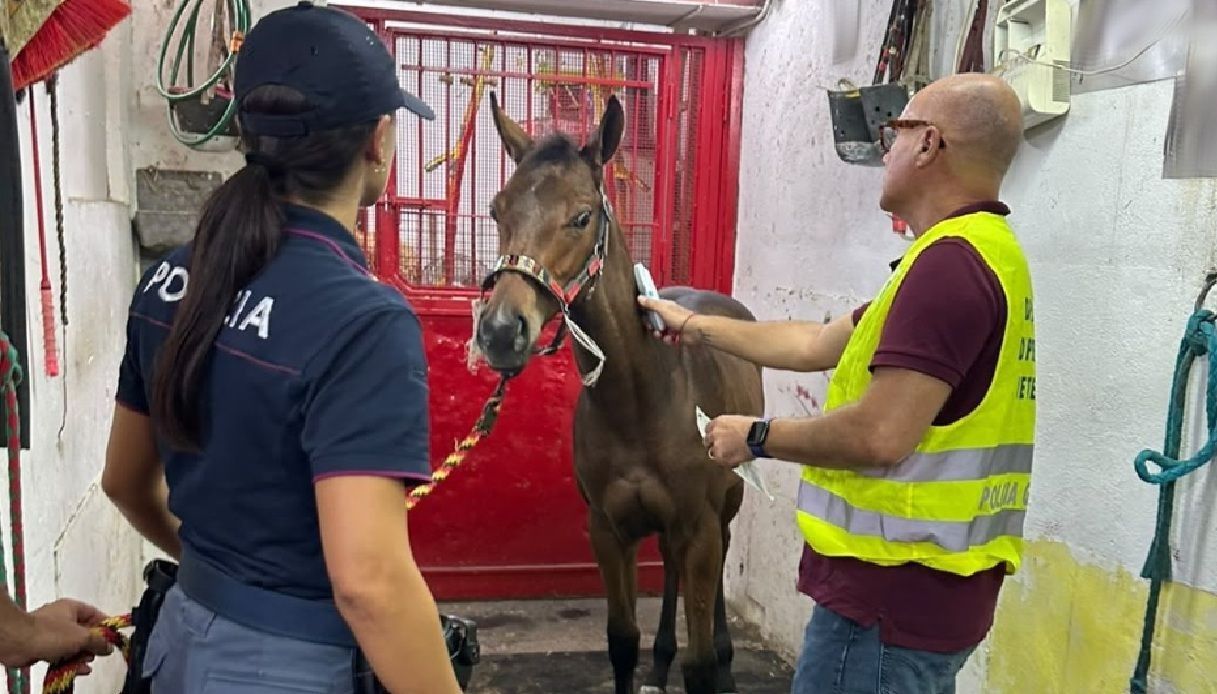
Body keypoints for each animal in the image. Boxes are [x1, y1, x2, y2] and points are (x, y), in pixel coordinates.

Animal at [474, 92, 765, 694]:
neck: (639, 403)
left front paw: (709, 663)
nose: (500, 332)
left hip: (726, 507)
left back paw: (726, 657)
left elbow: (700, 665)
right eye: (496, 210)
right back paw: (662, 656)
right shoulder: (609, 530)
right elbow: (622, 642)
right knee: (671, 571)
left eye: (582, 216)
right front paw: (648, 656)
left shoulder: (700, 528)